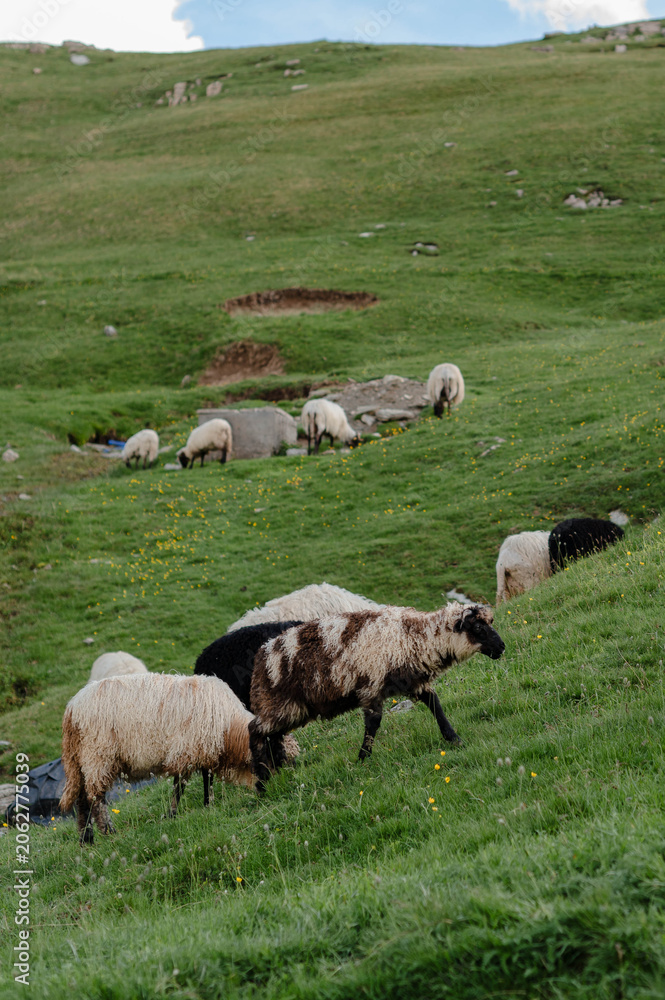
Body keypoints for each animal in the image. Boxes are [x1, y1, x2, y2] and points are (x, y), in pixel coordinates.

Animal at [60, 673, 257, 843]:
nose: (264, 792)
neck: (229, 727)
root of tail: (71, 709)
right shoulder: (186, 750)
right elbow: (180, 787)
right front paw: (172, 814)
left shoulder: (202, 751)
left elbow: (207, 780)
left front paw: (208, 804)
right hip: (98, 754)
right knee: (95, 797)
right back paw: (108, 831)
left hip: (82, 759)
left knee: (82, 799)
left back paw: (86, 839)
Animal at [248, 602, 505, 789]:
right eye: (478, 628)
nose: (502, 648)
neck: (414, 637)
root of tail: (261, 658)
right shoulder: (371, 686)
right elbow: (373, 723)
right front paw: (362, 758)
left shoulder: (413, 681)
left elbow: (436, 705)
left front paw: (454, 738)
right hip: (278, 705)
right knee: (255, 731)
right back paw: (262, 783)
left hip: (291, 710)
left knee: (274, 738)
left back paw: (280, 771)